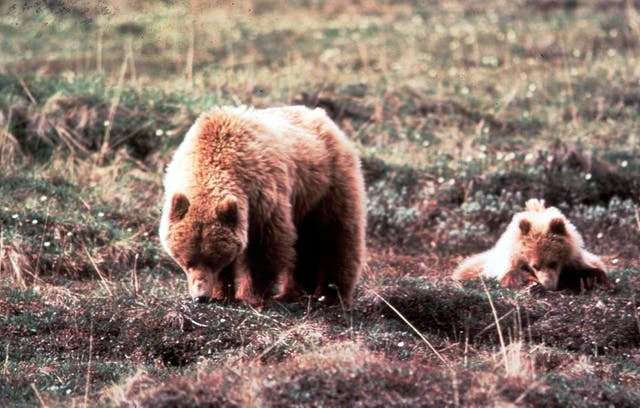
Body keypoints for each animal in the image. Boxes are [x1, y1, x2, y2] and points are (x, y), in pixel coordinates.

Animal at [159, 105, 366, 306]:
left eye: (213, 260)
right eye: (187, 261)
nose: (200, 296)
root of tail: (323, 116)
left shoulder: (262, 195)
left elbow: (265, 246)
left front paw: (251, 295)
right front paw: (222, 293)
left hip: (329, 183)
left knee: (337, 235)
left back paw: (330, 295)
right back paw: (295, 292)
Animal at [452, 198, 613, 292]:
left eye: (553, 263)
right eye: (535, 265)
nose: (549, 285)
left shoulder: (575, 260)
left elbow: (589, 270)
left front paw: (593, 280)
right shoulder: (506, 264)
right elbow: (512, 275)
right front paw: (531, 282)